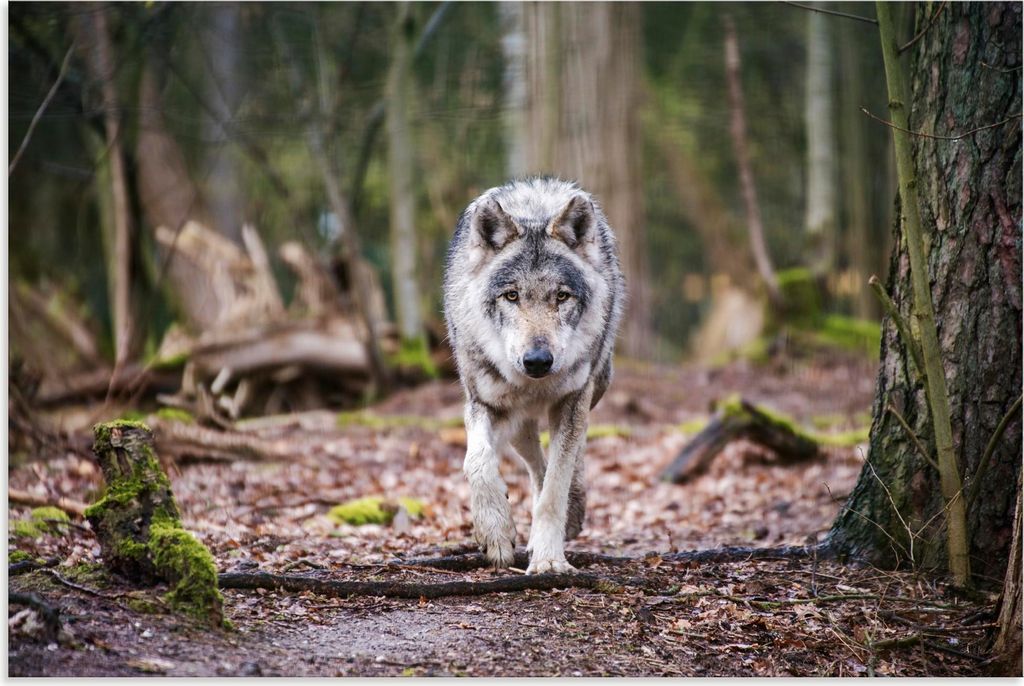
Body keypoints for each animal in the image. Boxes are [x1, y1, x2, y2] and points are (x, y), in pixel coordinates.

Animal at [443, 177, 625, 574]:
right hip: (515, 420)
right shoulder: (483, 403)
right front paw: (495, 532)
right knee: (533, 458)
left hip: (595, 387)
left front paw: (548, 560)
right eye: (511, 296)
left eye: (561, 297)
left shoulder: (573, 401)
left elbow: (555, 488)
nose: (538, 361)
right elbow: (477, 462)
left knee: (571, 455)